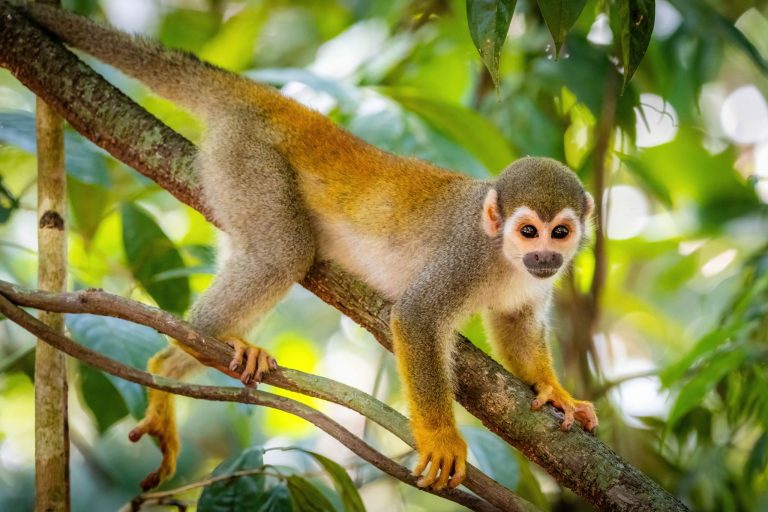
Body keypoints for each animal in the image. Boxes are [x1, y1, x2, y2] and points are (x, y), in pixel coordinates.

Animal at [16, 3, 599, 492]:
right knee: (284, 255)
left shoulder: (531, 285)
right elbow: (415, 317)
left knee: (258, 252)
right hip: (247, 159)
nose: (545, 257)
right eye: (528, 231)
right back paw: (191, 345)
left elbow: (516, 324)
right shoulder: (467, 256)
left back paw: (168, 365)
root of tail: (266, 99)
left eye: (560, 233)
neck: (503, 257)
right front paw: (441, 439)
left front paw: (554, 391)